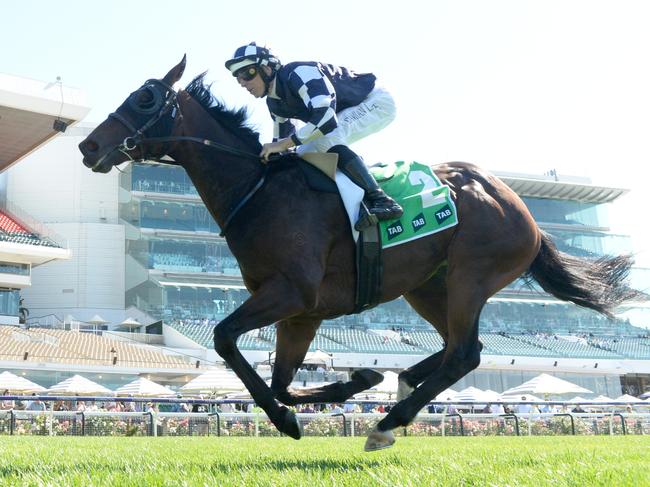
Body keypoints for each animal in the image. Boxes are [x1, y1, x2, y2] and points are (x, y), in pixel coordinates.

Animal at [78, 56, 640, 450]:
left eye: (146, 98)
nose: (88, 147)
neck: (259, 189)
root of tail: (516, 203)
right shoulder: (301, 312)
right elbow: (282, 382)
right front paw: (353, 381)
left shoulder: (291, 294)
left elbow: (224, 339)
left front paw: (290, 418)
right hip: (427, 286)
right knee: (457, 350)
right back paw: (400, 384)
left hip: (470, 275)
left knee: (465, 352)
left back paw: (389, 421)